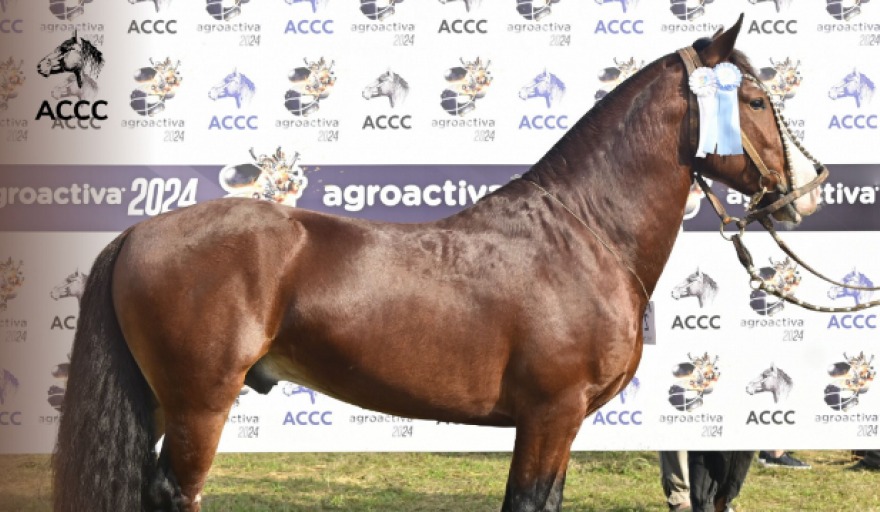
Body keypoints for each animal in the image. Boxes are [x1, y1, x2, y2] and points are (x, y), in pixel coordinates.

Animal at [53, 18, 823, 512]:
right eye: (755, 99)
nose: (807, 192)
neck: (584, 233)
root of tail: (139, 231)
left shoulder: (558, 424)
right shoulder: (550, 415)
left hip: (162, 401)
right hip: (200, 403)